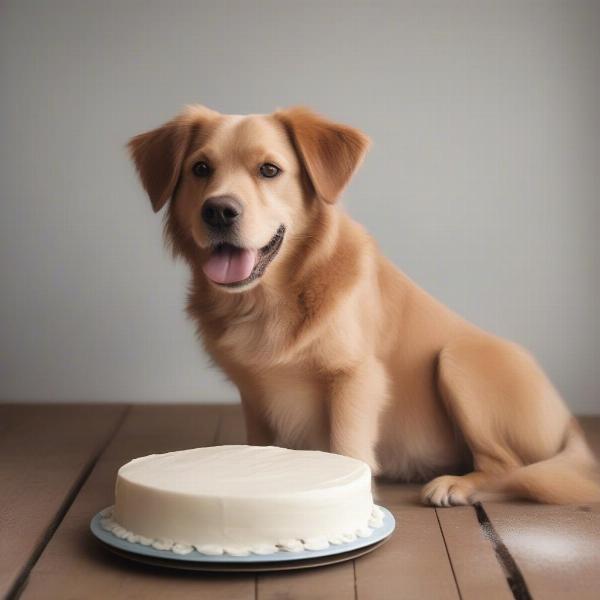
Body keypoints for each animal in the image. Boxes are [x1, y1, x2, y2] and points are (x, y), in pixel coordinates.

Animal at [127, 105, 600, 504]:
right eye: (200, 169)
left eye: (269, 170)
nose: (219, 211)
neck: (270, 300)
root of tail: (569, 420)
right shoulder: (254, 394)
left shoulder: (355, 377)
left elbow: (347, 449)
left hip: (458, 360)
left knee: (511, 468)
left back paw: (456, 486)